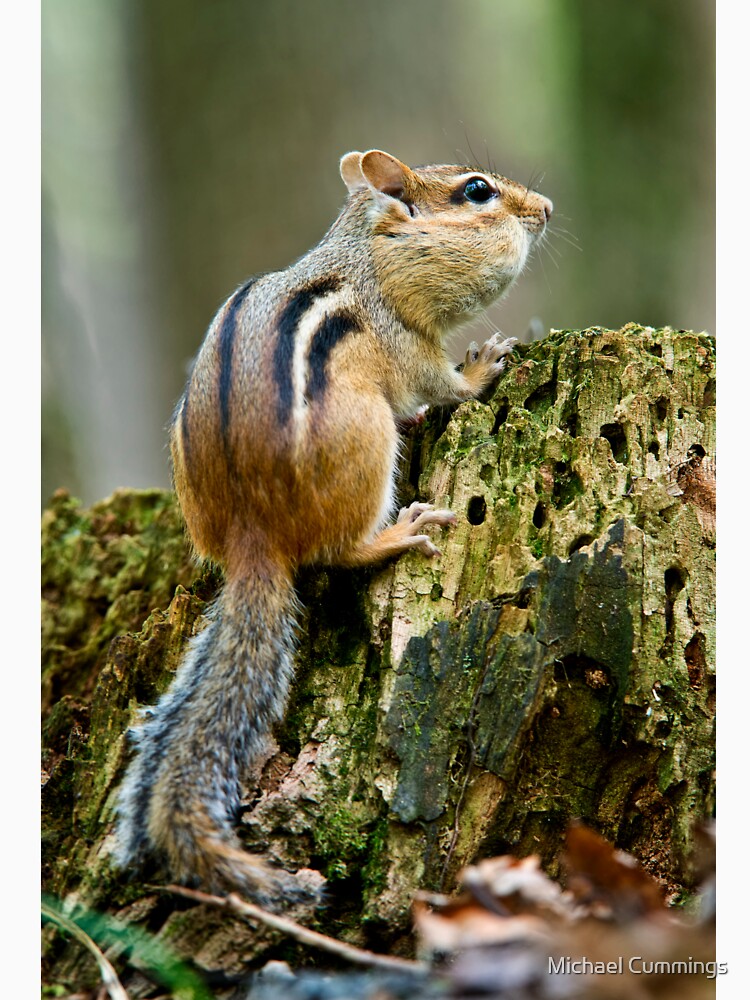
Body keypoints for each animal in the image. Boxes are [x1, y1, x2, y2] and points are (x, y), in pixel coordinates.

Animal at [114, 149, 552, 907]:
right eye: (477, 192)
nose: (547, 209)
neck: (368, 260)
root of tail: (252, 538)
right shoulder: (404, 343)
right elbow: (443, 385)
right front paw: (483, 365)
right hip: (368, 438)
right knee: (342, 551)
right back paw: (399, 531)